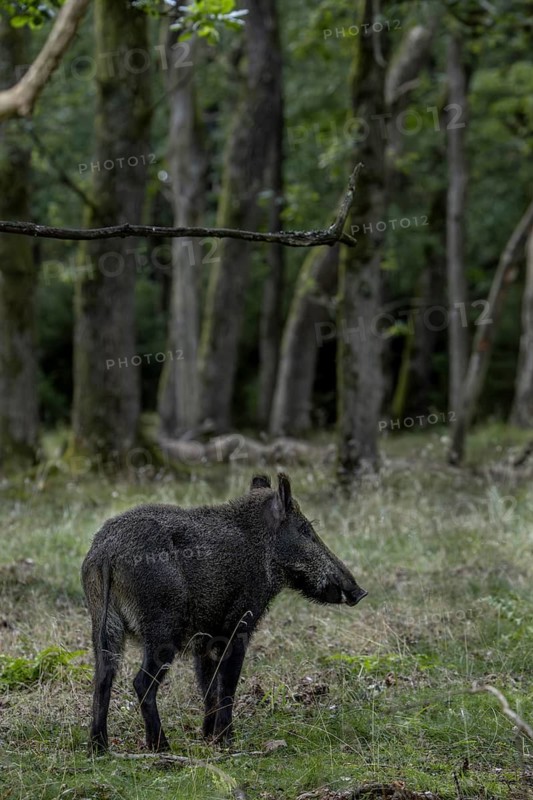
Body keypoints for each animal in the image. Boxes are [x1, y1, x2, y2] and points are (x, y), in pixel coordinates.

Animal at [81, 473, 367, 753]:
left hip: (103, 623)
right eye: (306, 530)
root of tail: (107, 553)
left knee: (103, 678)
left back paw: (99, 747)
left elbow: (209, 686)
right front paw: (226, 741)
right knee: (141, 682)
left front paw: (208, 737)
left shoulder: (205, 637)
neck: (263, 552)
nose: (360, 592)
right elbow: (228, 683)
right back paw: (161, 746)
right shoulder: (239, 624)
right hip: (162, 626)